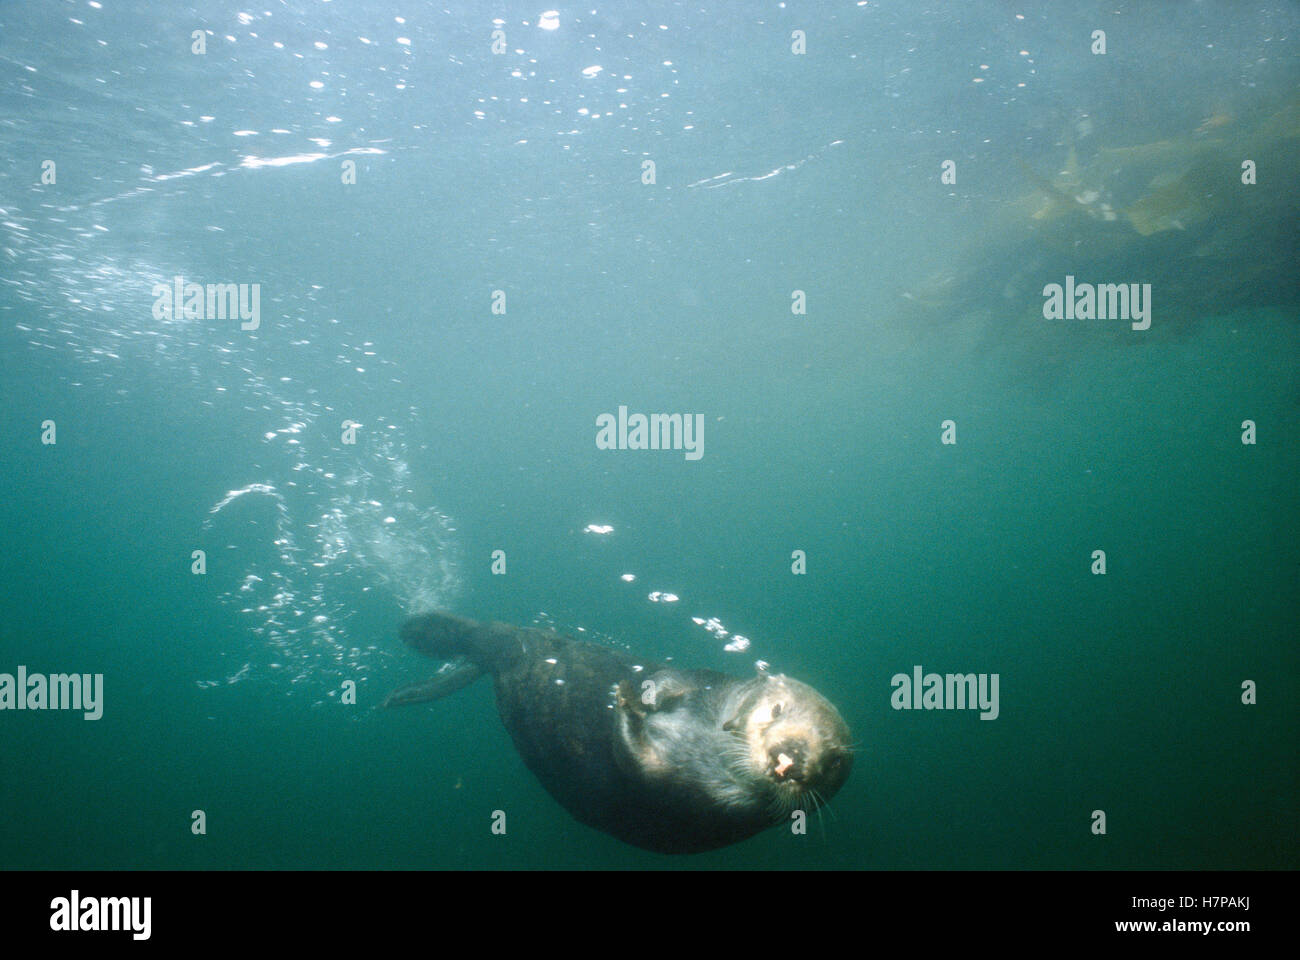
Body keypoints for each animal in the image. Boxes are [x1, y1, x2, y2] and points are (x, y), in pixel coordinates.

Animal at [384, 611, 853, 854]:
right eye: (776, 709)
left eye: (832, 759)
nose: (790, 757)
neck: (702, 742)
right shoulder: (702, 682)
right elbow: (668, 680)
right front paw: (641, 692)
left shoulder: (708, 803)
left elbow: (635, 762)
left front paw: (626, 700)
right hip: (530, 644)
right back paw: (420, 629)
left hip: (507, 660)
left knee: (480, 646)